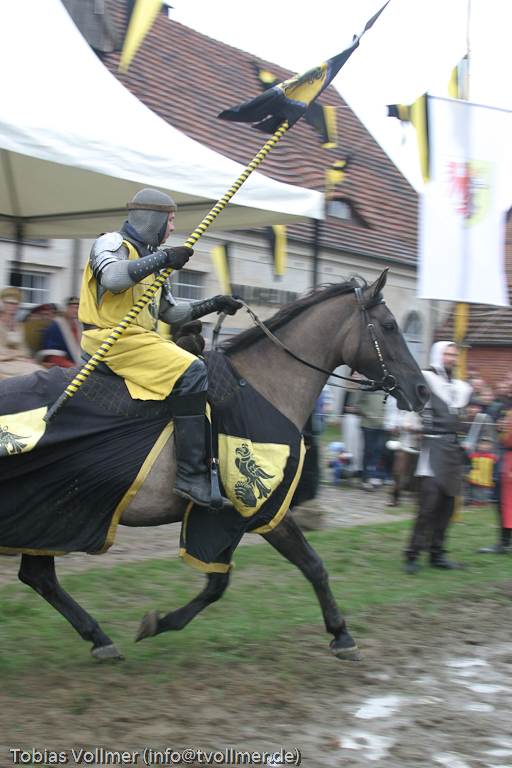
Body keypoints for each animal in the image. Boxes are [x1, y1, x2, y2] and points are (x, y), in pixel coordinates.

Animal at [4, 269, 429, 661]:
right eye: (389, 326)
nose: (423, 391)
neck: (263, 385)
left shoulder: (236, 516)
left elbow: (237, 580)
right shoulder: (255, 509)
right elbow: (301, 566)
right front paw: (341, 633)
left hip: (50, 517)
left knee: (38, 577)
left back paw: (99, 638)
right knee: (39, 576)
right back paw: (99, 637)